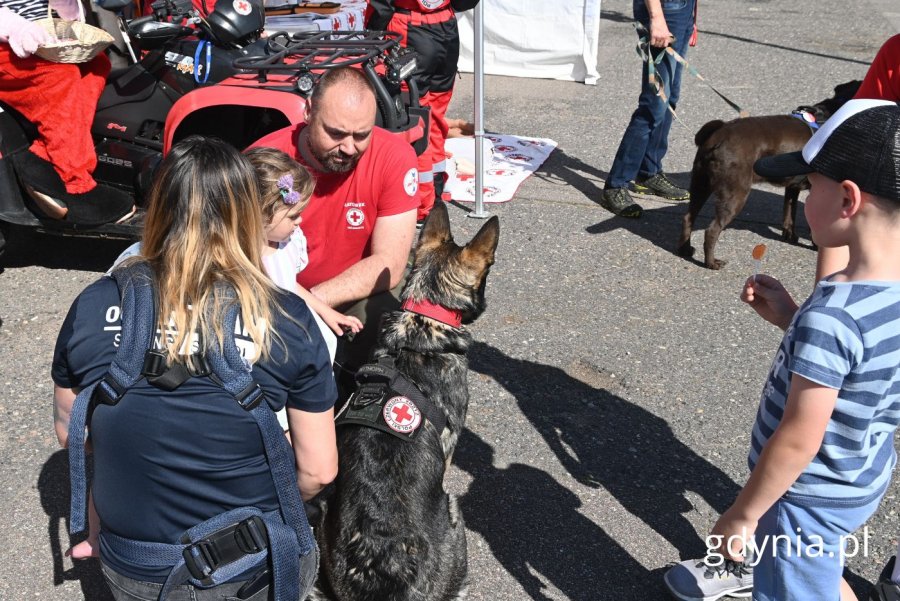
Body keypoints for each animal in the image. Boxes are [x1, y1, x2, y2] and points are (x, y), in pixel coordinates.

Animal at [680, 80, 860, 270]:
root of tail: (719, 134)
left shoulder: (792, 187)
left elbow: (789, 214)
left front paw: (790, 236)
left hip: (700, 184)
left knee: (688, 217)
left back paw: (685, 250)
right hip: (735, 193)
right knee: (712, 230)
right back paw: (711, 263)